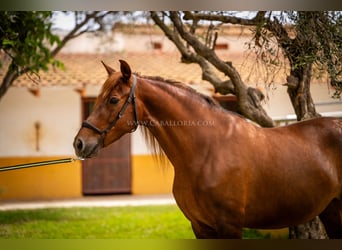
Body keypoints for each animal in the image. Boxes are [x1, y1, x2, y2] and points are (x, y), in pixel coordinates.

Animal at [75, 59, 342, 238]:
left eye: (113, 100)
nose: (79, 143)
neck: (207, 152)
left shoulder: (230, 226)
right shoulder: (200, 227)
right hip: (330, 210)